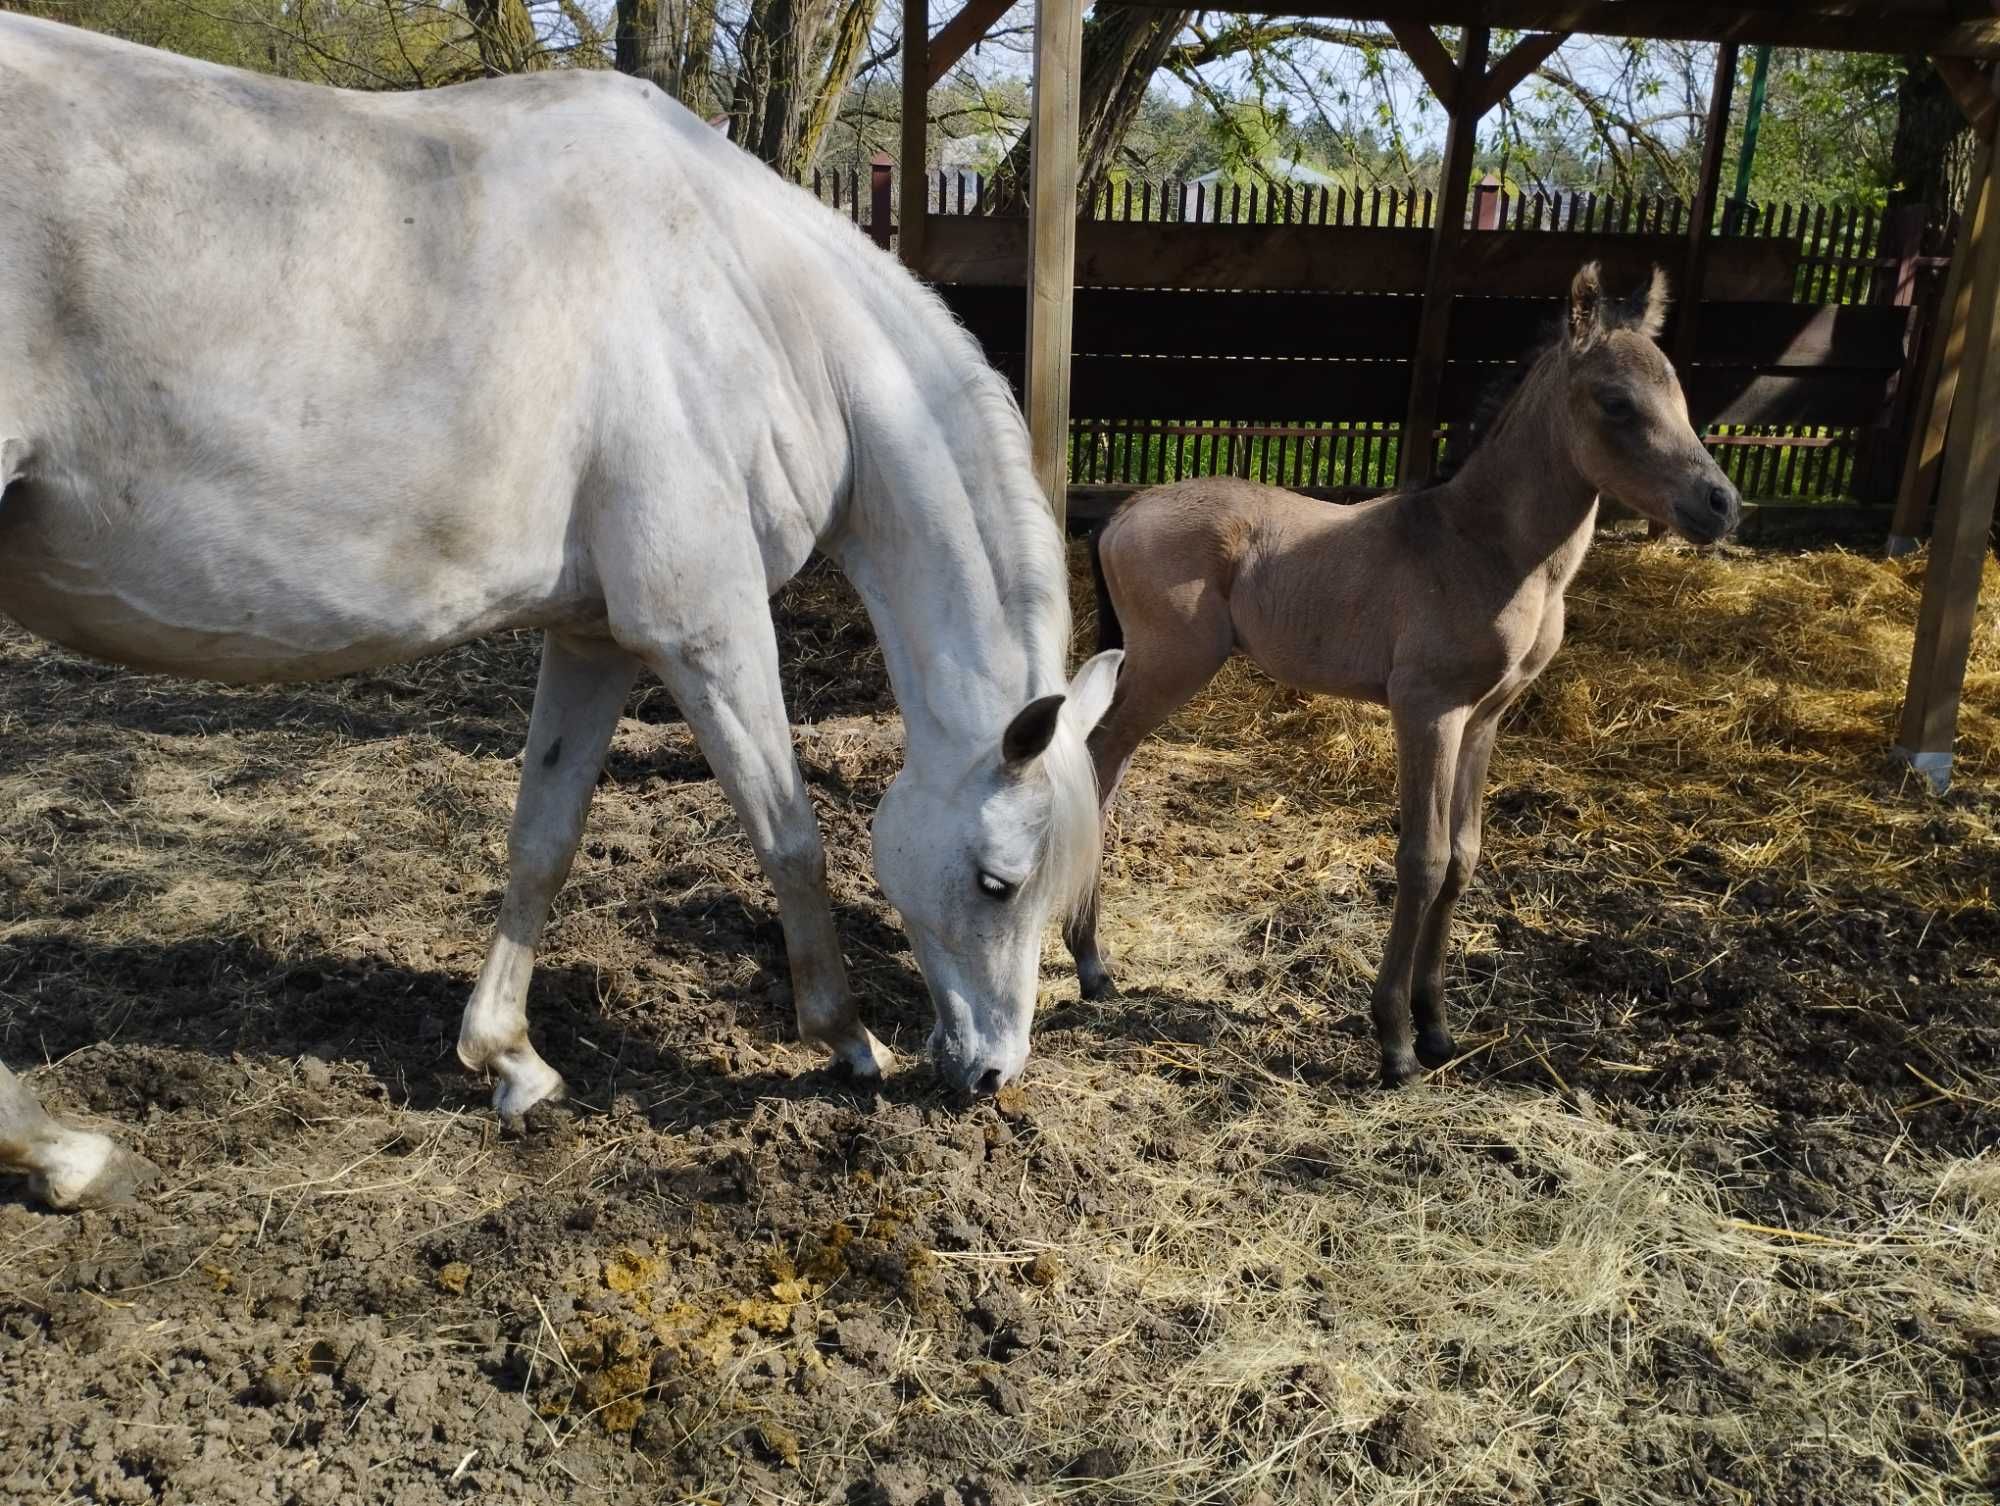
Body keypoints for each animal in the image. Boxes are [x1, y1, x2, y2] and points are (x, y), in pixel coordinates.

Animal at [0, 11, 1128, 1208]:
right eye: (998, 882)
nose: (988, 1075)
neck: (745, 304)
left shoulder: (594, 637)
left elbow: (544, 833)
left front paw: (509, 1060)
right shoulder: (706, 628)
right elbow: (789, 836)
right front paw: (845, 1040)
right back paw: (64, 1153)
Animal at [1072, 258, 1744, 1080]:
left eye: (1680, 393)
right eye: (1616, 401)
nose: (1721, 504)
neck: (1484, 549)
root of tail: (1120, 513)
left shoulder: (1485, 717)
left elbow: (1463, 857)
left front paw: (1436, 1025)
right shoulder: (1427, 709)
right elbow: (1422, 858)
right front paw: (1394, 1038)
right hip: (1170, 665)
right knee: (1099, 759)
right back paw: (1090, 962)